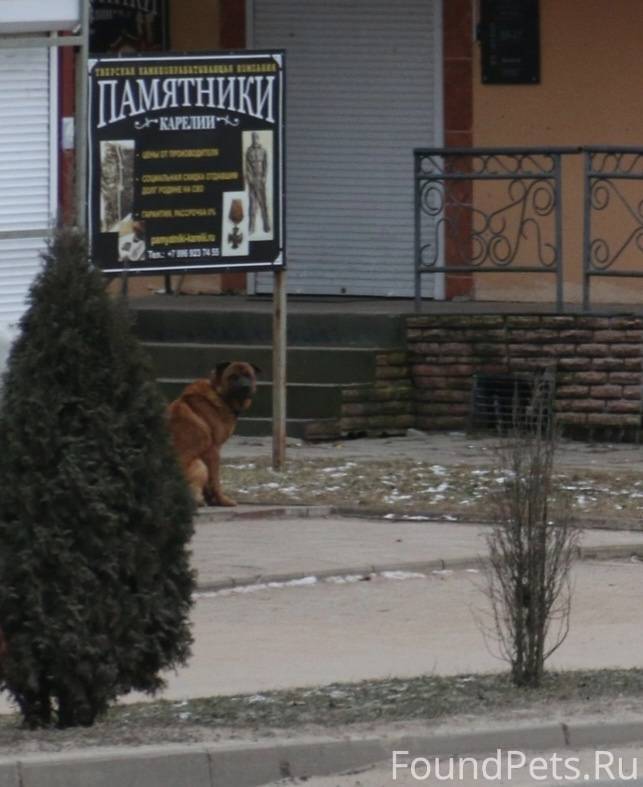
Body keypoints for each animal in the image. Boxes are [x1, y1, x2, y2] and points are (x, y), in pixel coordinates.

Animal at [167, 361, 260, 506]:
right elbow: (215, 481)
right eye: (233, 377)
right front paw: (222, 500)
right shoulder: (213, 451)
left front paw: (212, 499)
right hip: (199, 465)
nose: (245, 387)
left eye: (248, 375)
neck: (219, 394)